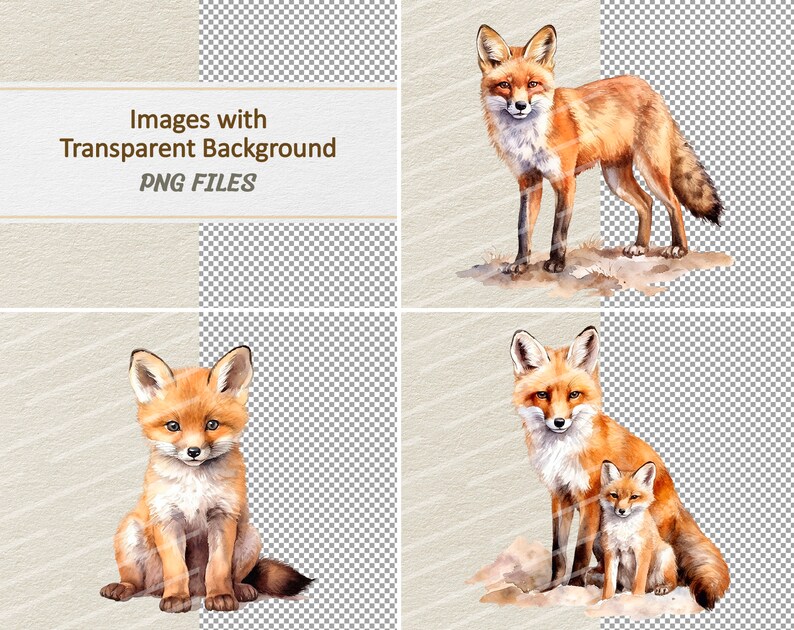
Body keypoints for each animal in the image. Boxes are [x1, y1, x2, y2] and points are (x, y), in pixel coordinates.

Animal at [100, 346, 312, 613]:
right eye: (173, 426)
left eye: (212, 424)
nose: (193, 451)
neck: (195, 484)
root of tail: (197, 590)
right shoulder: (168, 517)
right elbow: (176, 568)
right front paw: (176, 597)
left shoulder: (222, 516)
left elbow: (218, 567)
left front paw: (220, 595)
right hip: (130, 531)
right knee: (136, 581)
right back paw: (127, 588)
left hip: (250, 536)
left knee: (235, 576)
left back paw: (239, 589)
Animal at [478, 24, 723, 275]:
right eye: (505, 85)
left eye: (532, 84)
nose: (520, 106)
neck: (528, 136)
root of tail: (650, 89)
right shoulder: (529, 180)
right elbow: (523, 228)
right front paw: (520, 263)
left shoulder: (565, 180)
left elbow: (559, 229)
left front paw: (556, 262)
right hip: (616, 179)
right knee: (646, 202)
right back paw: (640, 246)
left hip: (651, 170)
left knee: (673, 203)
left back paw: (679, 248)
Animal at [598, 461, 678, 599]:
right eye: (614, 495)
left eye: (634, 497)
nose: (621, 511)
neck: (624, 530)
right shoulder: (611, 551)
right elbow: (608, 584)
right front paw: (605, 601)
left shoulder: (642, 550)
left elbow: (639, 581)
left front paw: (636, 600)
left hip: (665, 554)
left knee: (673, 582)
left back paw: (663, 587)